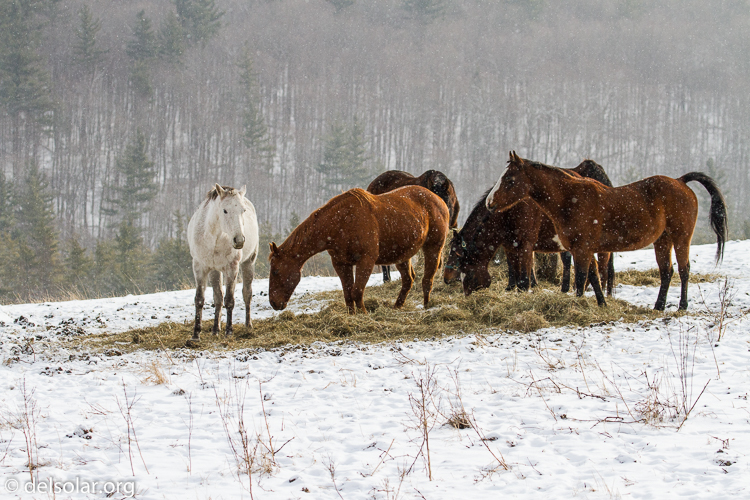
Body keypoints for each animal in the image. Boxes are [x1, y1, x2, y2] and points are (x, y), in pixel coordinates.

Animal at [187, 184, 260, 340]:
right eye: (225, 210)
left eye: (243, 210)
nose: (239, 240)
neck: (214, 237)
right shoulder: (200, 267)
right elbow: (200, 299)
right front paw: (196, 334)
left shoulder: (231, 268)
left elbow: (229, 300)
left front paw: (229, 331)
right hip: (214, 271)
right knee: (218, 298)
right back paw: (215, 329)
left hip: (248, 263)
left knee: (247, 293)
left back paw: (248, 325)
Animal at [268, 187, 450, 312]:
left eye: (276, 271)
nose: (274, 303)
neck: (342, 221)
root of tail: (439, 200)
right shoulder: (341, 264)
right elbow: (348, 294)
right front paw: (352, 315)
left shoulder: (366, 261)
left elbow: (357, 292)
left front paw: (364, 315)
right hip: (402, 256)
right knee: (408, 280)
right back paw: (397, 307)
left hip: (433, 248)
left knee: (427, 279)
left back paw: (426, 307)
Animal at [446, 160, 616, 294]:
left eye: (457, 254)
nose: (446, 279)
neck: (509, 211)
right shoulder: (510, 246)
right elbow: (515, 269)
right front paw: (513, 287)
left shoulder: (525, 245)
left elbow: (524, 275)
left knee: (602, 267)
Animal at [488, 150, 728, 310]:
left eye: (509, 179)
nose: (490, 203)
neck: (569, 198)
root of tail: (680, 182)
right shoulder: (584, 249)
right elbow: (594, 276)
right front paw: (602, 303)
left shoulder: (582, 249)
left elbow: (581, 278)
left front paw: (579, 305)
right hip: (662, 240)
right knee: (666, 272)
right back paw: (659, 306)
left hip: (681, 238)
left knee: (684, 270)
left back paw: (682, 305)